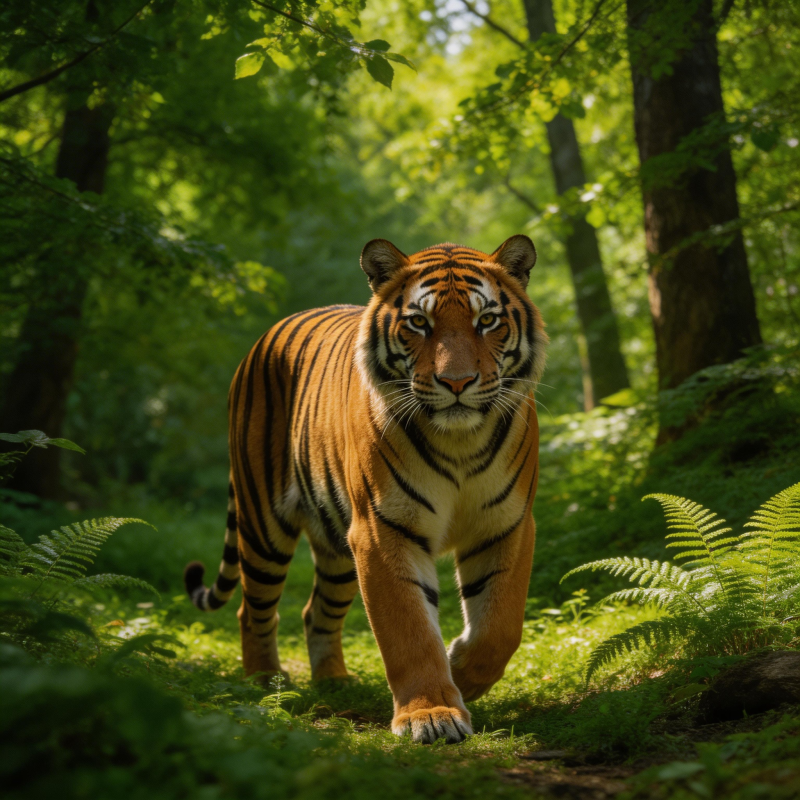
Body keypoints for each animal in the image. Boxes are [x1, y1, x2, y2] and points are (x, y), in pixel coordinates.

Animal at [184, 235, 547, 744]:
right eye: (419, 322)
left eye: (487, 320)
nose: (456, 382)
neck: (459, 440)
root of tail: (268, 334)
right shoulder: (382, 529)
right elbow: (408, 629)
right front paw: (430, 714)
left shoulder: (506, 523)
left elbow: (501, 627)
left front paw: (462, 671)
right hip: (263, 526)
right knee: (253, 610)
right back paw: (265, 684)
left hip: (336, 546)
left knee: (315, 611)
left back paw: (334, 682)